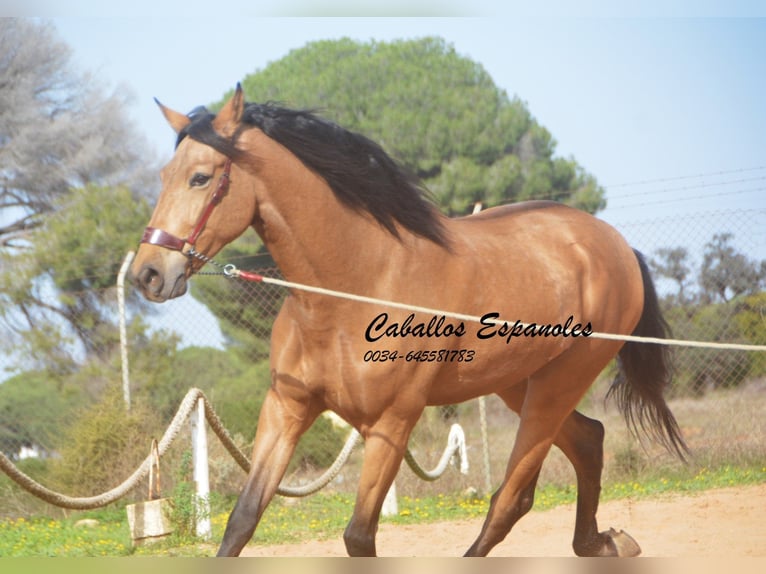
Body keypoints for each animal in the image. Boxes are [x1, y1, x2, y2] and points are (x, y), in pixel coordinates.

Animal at [132, 85, 688, 560]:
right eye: (162, 176)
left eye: (201, 177)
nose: (148, 273)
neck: (354, 286)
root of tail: (614, 243)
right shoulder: (287, 408)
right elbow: (243, 520)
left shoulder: (391, 424)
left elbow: (359, 536)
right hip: (519, 383)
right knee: (587, 442)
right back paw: (604, 542)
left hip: (558, 384)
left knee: (510, 500)